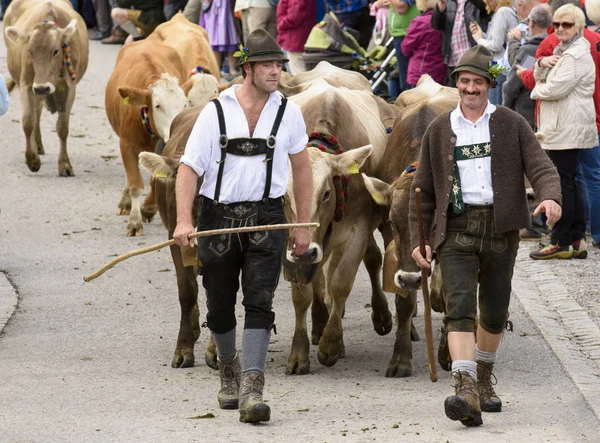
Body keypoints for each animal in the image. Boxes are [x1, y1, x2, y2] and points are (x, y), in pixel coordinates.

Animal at [2, 0, 88, 177]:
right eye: (29, 50)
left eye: (56, 51)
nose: (42, 88)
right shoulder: (27, 84)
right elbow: (27, 121)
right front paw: (32, 160)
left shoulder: (70, 87)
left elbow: (62, 127)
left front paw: (64, 164)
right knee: (36, 111)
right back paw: (36, 146)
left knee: (38, 109)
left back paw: (38, 144)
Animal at [105, 40, 193, 238]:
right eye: (158, 105)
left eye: (184, 105)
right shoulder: (126, 144)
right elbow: (135, 183)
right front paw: (134, 222)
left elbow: (156, 178)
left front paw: (148, 209)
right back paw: (125, 202)